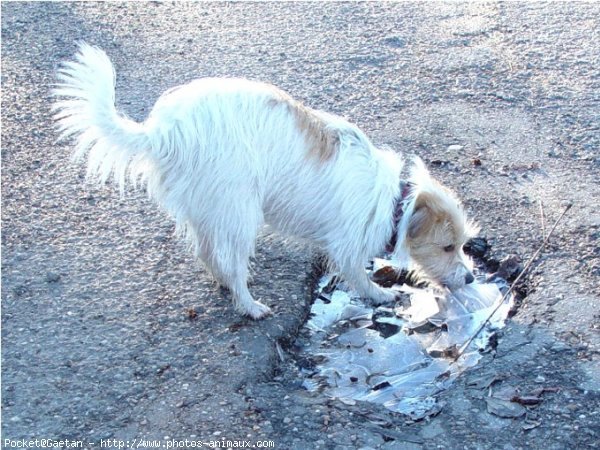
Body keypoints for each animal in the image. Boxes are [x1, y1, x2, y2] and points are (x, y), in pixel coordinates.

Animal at [54, 41, 476, 316]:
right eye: (446, 247)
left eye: (460, 245)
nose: (471, 279)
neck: (394, 201)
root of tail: (165, 131)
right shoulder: (345, 245)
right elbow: (356, 273)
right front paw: (378, 295)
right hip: (239, 212)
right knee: (231, 262)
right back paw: (248, 305)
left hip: (210, 209)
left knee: (208, 252)